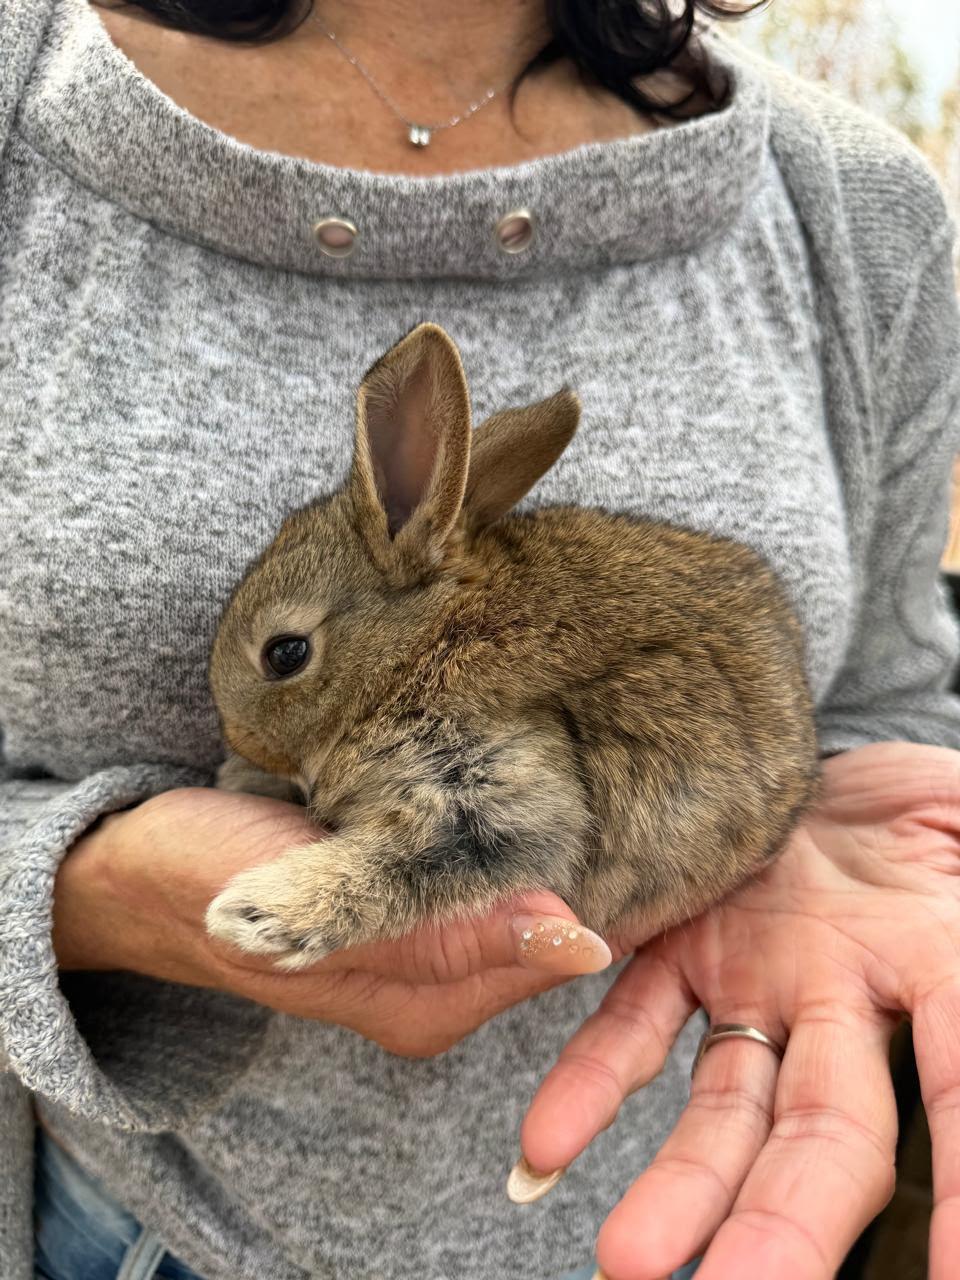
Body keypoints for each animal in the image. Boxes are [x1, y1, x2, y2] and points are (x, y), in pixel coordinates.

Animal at [206, 322, 818, 970]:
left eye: (285, 654)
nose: (238, 738)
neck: (418, 650)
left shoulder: (494, 783)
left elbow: (416, 863)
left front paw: (256, 914)